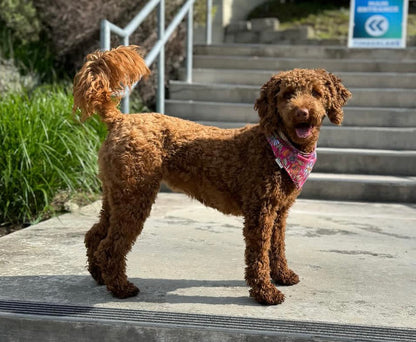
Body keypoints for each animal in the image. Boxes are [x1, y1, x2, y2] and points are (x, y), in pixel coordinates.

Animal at [72, 44, 352, 304]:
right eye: (287, 95)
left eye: (316, 93)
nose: (302, 112)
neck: (277, 145)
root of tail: (120, 119)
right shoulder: (260, 212)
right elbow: (258, 255)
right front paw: (265, 292)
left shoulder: (279, 211)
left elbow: (277, 247)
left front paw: (282, 275)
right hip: (134, 196)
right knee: (110, 247)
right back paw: (121, 287)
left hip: (116, 194)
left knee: (95, 235)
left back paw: (99, 276)